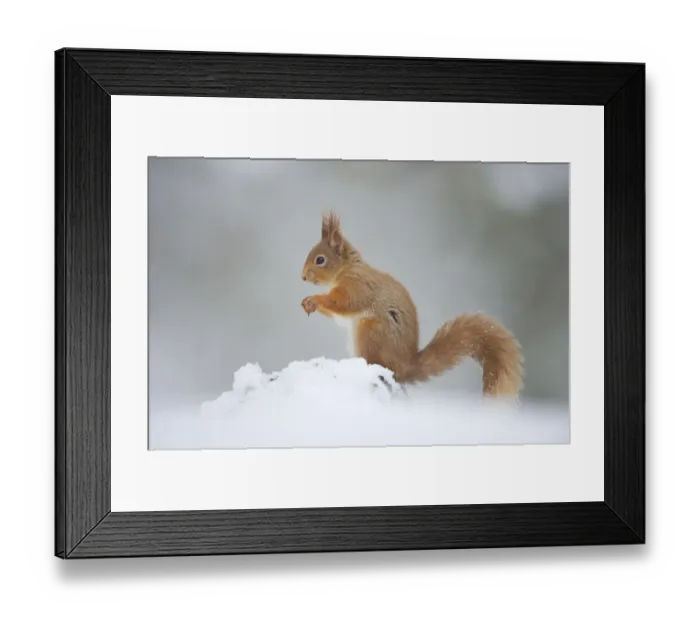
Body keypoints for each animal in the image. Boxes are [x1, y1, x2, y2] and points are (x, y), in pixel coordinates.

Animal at [300, 212, 524, 399]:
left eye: (320, 260)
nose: (303, 277)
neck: (346, 268)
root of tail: (406, 367)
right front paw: (308, 303)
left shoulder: (359, 286)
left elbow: (345, 302)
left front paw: (314, 299)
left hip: (371, 333)